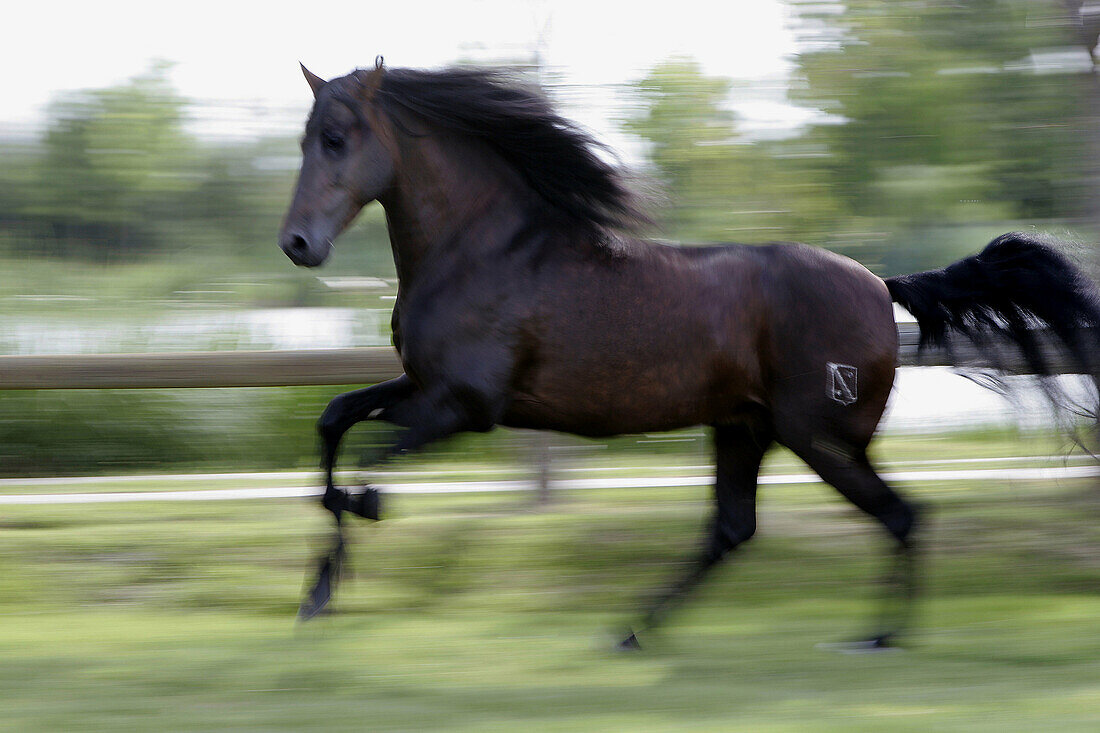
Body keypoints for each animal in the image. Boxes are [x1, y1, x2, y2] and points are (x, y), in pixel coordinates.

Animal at [275, 59, 1100, 647]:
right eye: (303, 139)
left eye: (337, 139)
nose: (297, 244)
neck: (485, 251)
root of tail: (880, 285)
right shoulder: (423, 384)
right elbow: (333, 419)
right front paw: (317, 594)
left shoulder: (464, 406)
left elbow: (364, 462)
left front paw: (355, 531)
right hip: (744, 426)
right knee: (734, 530)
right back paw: (632, 628)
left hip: (819, 435)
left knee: (901, 515)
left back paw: (877, 636)